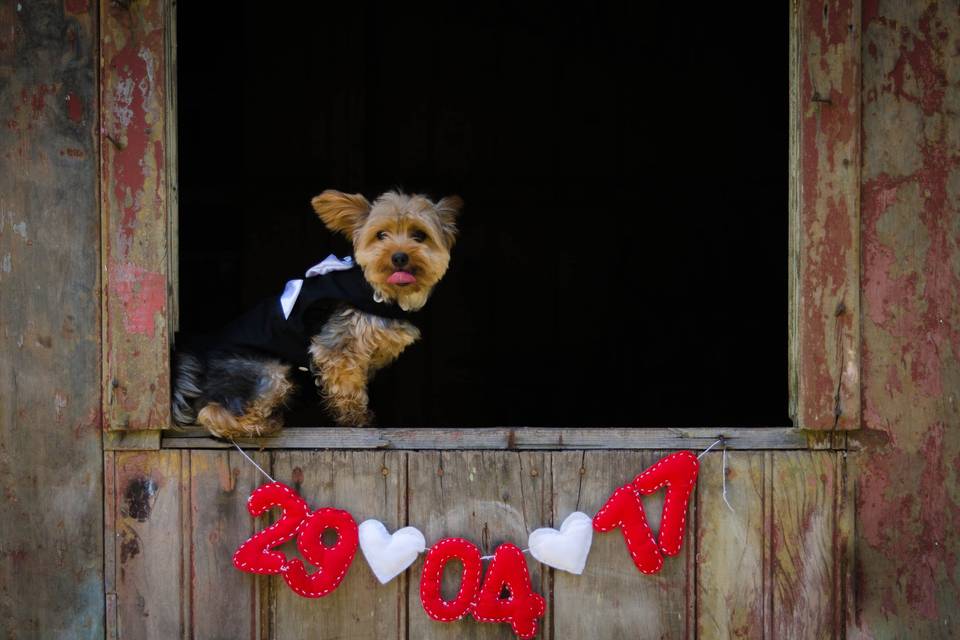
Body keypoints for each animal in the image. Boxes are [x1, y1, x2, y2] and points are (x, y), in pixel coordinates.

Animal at [172, 188, 462, 438]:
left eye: (419, 236)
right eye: (381, 235)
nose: (399, 257)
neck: (379, 291)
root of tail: (201, 362)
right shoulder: (337, 347)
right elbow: (347, 385)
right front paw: (355, 420)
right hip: (266, 371)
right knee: (211, 412)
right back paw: (261, 425)